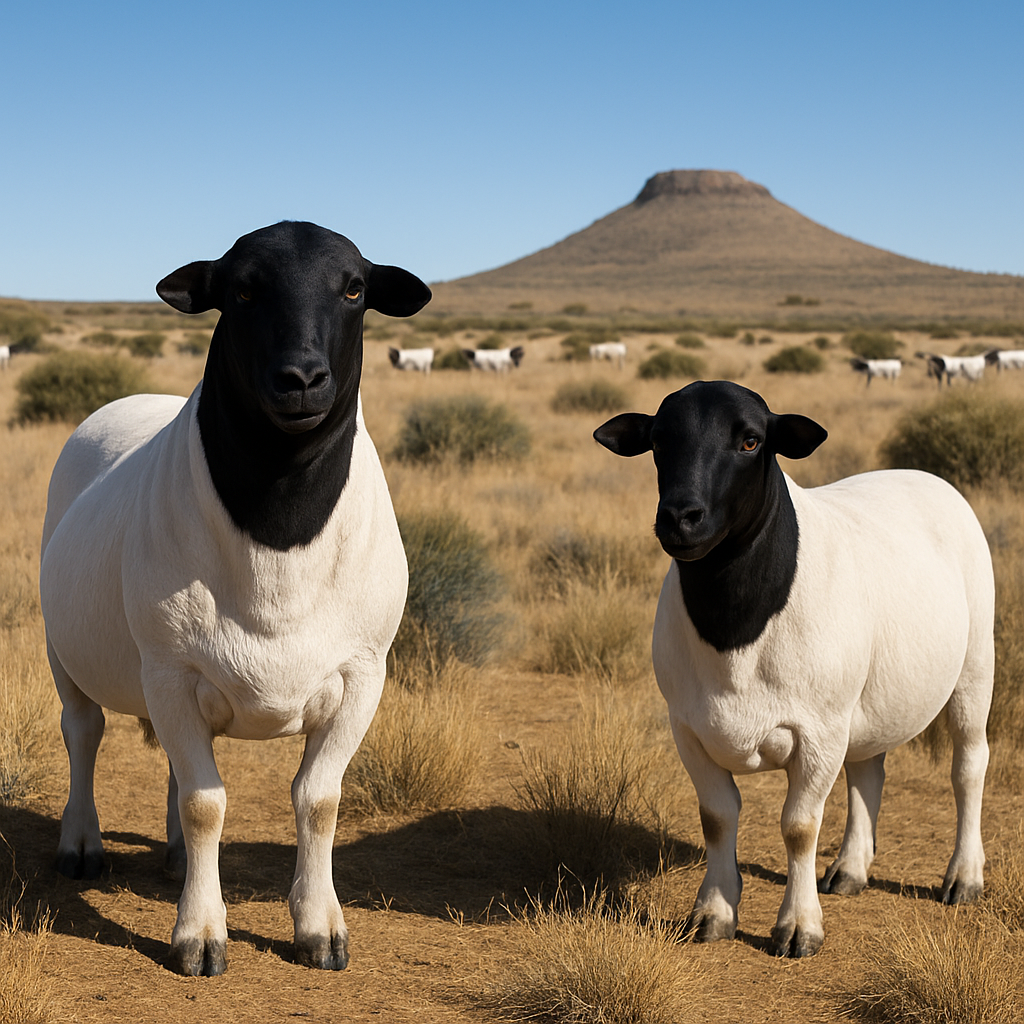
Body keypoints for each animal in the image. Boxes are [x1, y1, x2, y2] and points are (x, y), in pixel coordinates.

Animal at [39, 221, 431, 976]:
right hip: (63, 651)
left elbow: (318, 800)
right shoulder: (169, 668)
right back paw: (80, 844)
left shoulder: (364, 672)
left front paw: (319, 928)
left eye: (354, 288)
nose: (301, 378)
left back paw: (168, 856)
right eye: (242, 290)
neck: (278, 529)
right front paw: (198, 935)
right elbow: (205, 804)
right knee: (84, 733)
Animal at [594, 380, 994, 958]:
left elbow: (799, 827)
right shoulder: (687, 727)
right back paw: (849, 869)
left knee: (968, 767)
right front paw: (712, 913)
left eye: (751, 441)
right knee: (867, 770)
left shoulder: (818, 731)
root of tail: (921, 474)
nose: (680, 517)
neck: (736, 627)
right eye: (659, 441)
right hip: (862, 702)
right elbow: (717, 818)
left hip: (974, 667)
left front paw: (799, 928)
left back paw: (963, 877)